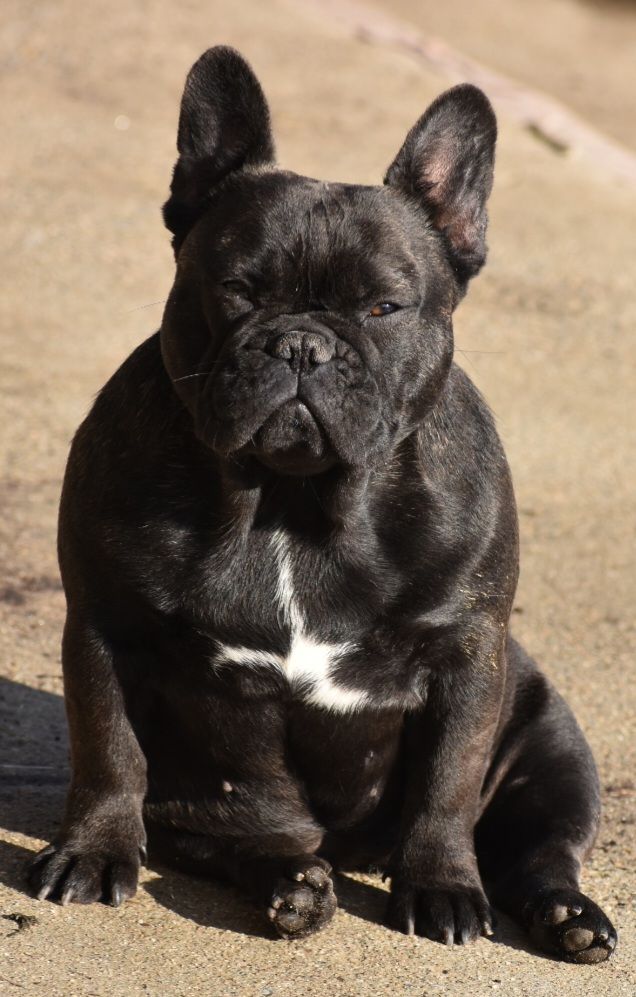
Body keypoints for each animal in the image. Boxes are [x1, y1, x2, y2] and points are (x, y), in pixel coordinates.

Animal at [28, 46, 617, 963]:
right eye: (238, 289)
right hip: (212, 807)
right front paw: (92, 850)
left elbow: (448, 784)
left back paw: (568, 916)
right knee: (247, 839)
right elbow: (107, 748)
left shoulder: (467, 657)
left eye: (383, 307)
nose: (302, 342)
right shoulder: (104, 623)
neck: (290, 501)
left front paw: (442, 884)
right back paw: (296, 884)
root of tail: (345, 850)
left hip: (552, 743)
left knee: (540, 846)